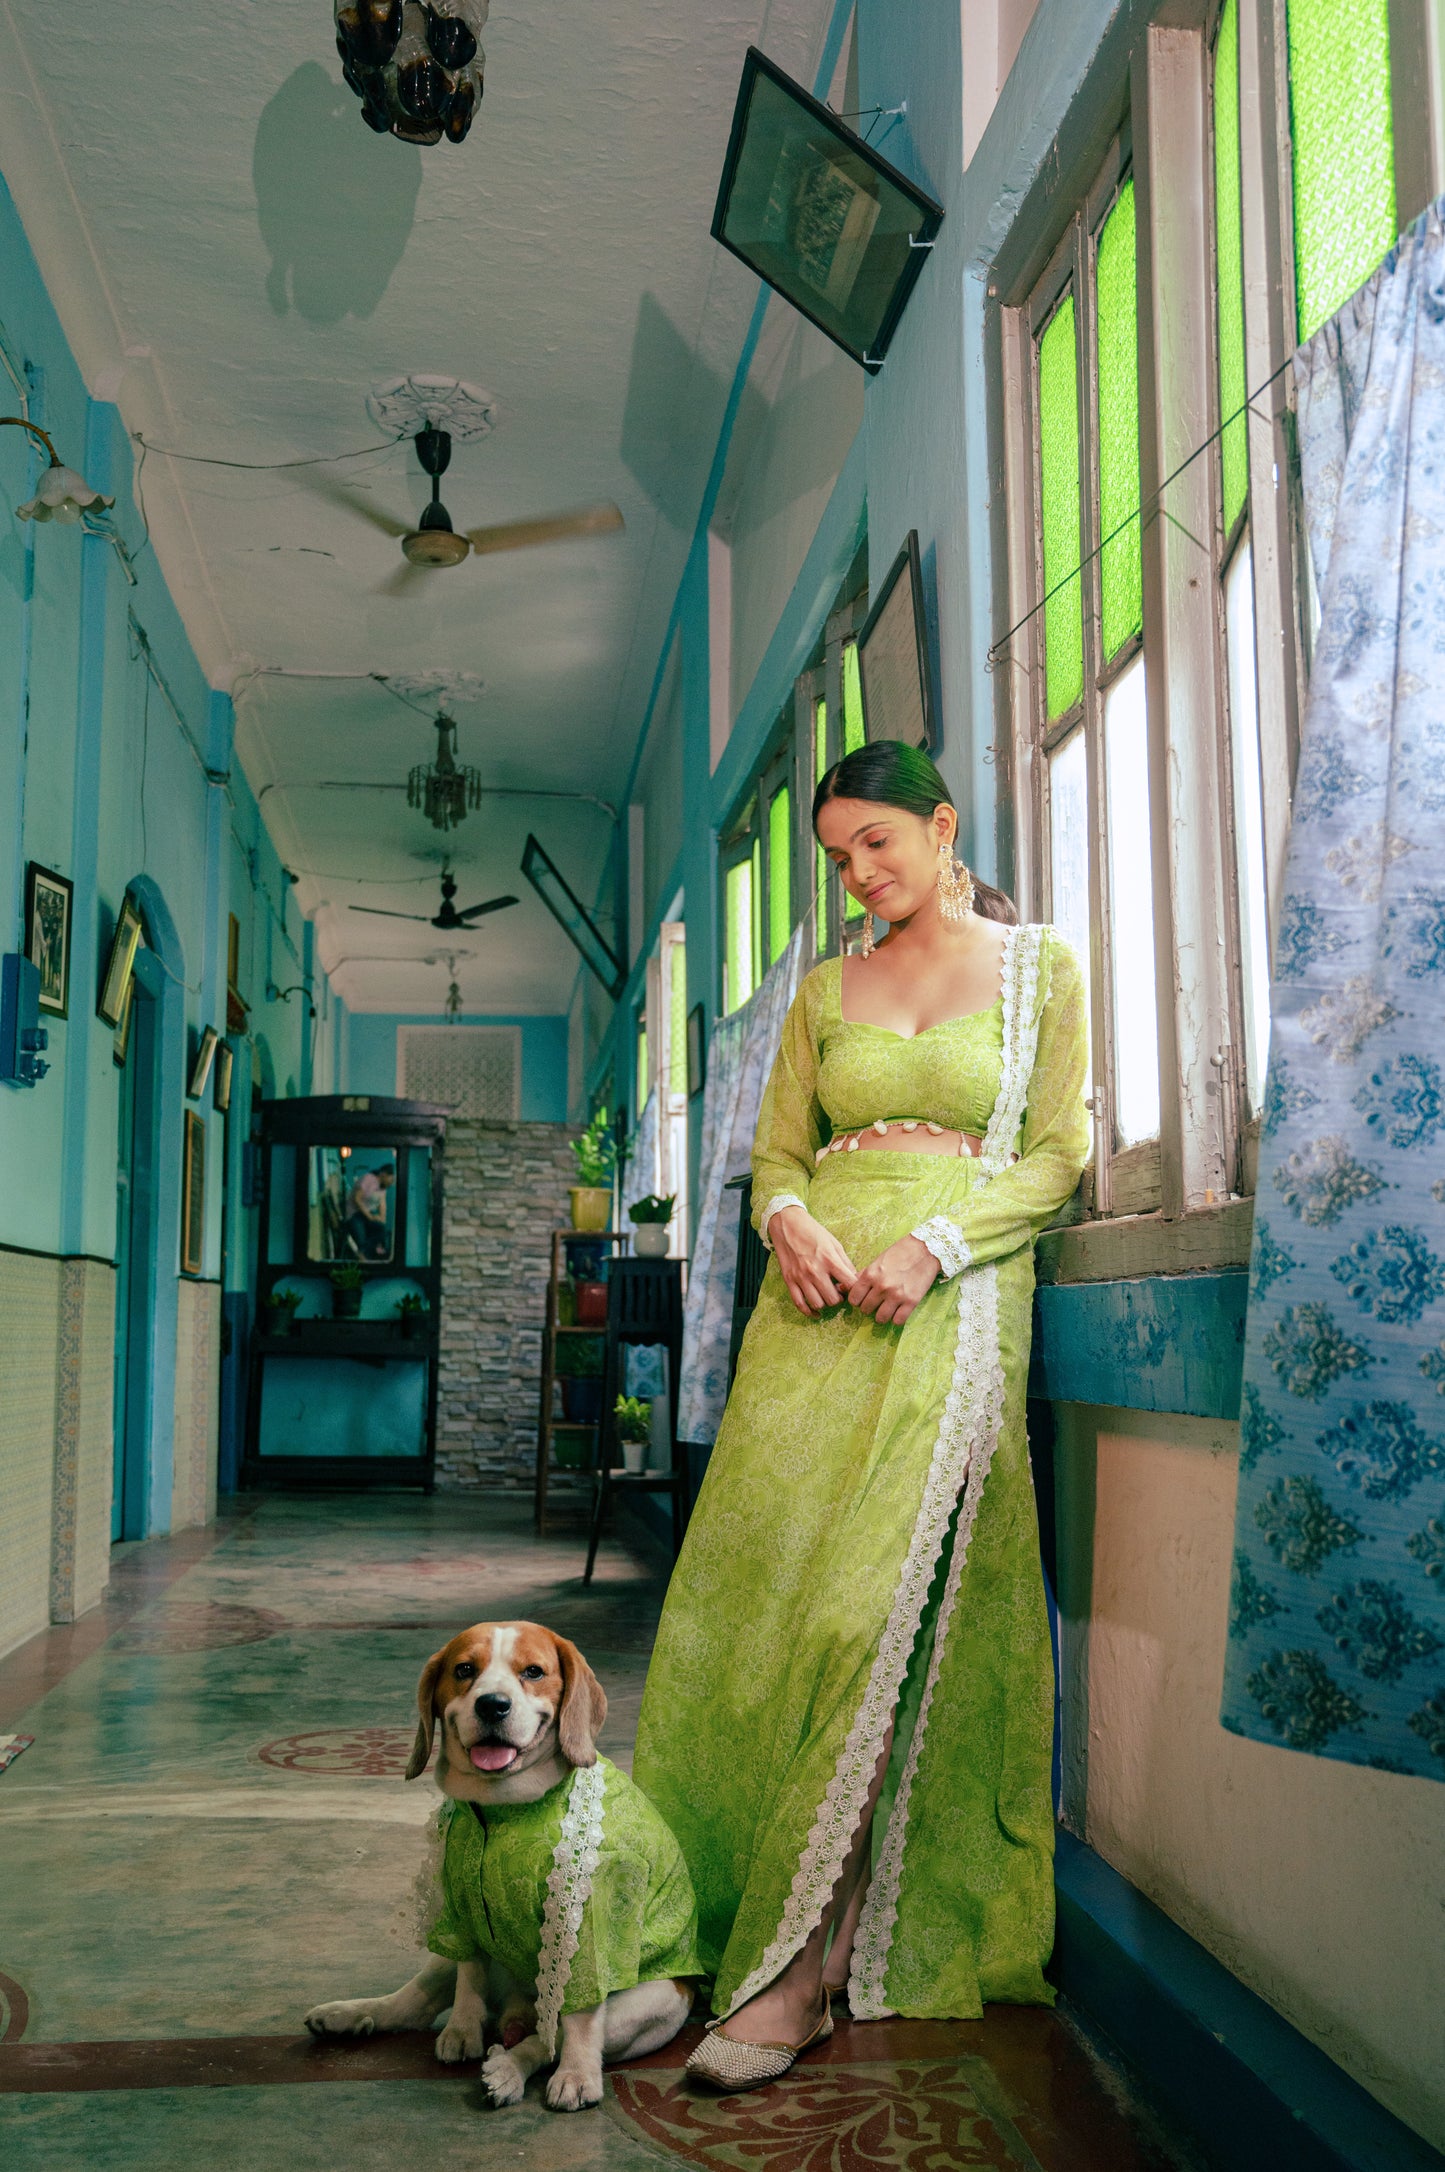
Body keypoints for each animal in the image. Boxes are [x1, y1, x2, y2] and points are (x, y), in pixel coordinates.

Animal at [302, 1624, 695, 2111]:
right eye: (464, 1670)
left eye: (534, 1672)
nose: (492, 1704)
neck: (502, 1810)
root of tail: (517, 2010)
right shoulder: (462, 1906)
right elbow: (468, 1977)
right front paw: (463, 2029)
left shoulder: (586, 1930)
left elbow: (580, 2019)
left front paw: (577, 2075)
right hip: (445, 1955)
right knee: (414, 2004)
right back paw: (348, 2014)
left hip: (646, 2004)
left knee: (548, 2037)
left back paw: (509, 2068)